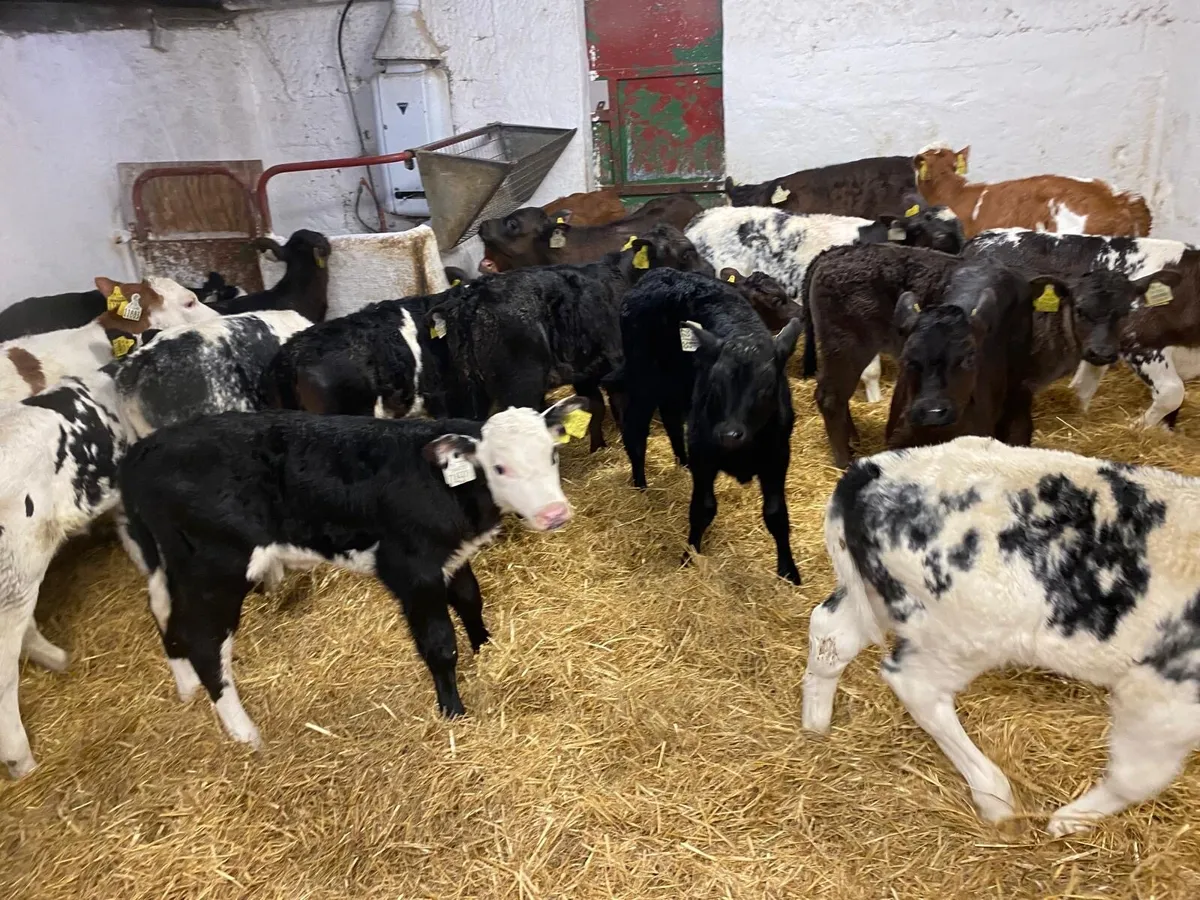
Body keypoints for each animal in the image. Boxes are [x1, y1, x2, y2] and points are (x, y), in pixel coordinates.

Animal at [116, 397, 590, 746]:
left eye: (552, 454)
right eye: (499, 467)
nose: (553, 514)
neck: (441, 484)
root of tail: (142, 451)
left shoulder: (452, 556)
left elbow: (471, 600)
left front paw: (488, 649)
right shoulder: (411, 570)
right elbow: (439, 644)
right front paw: (453, 711)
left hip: (174, 568)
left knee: (168, 619)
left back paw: (187, 690)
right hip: (216, 569)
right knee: (203, 641)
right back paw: (245, 733)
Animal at [618, 268, 803, 584]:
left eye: (767, 388)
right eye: (715, 384)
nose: (728, 434)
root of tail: (659, 273)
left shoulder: (778, 455)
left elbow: (776, 514)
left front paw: (789, 571)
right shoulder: (704, 450)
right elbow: (702, 508)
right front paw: (689, 556)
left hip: (673, 387)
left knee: (671, 417)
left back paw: (681, 462)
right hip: (644, 379)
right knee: (635, 430)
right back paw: (640, 485)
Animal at [803, 436, 1200, 835]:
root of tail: (870, 469)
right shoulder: (1162, 693)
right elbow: (1136, 777)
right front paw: (1067, 821)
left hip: (885, 598)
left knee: (831, 632)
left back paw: (815, 722)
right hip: (966, 631)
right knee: (917, 686)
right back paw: (994, 793)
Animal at [964, 229, 1192, 427]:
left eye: (1127, 311)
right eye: (1079, 310)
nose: (1101, 353)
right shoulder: (1142, 347)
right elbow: (1172, 393)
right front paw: (1138, 427)